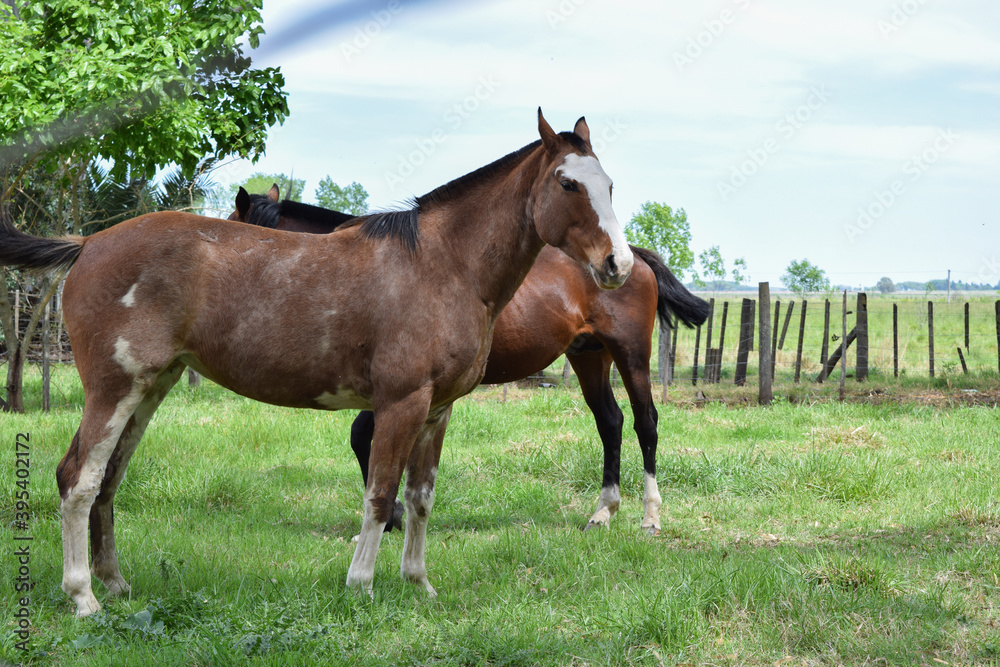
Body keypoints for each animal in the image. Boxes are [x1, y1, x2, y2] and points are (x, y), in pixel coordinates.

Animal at [0, 110, 634, 617]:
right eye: (567, 183)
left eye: (609, 183)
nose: (617, 264)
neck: (443, 265)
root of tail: (87, 243)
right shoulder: (401, 403)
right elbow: (380, 494)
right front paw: (362, 587)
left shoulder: (439, 409)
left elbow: (421, 498)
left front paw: (419, 585)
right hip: (114, 389)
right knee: (78, 479)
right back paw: (83, 598)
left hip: (151, 388)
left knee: (108, 480)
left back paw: (115, 584)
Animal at [229, 189, 710, 536]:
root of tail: (633, 260)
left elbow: (363, 436)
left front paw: (391, 516)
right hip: (590, 356)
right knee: (610, 422)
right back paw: (602, 512)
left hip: (632, 355)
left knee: (645, 423)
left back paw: (650, 518)